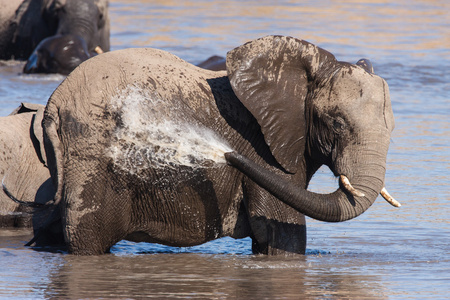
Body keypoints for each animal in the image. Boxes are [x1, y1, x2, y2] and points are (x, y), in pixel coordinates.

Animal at [37, 35, 400, 255]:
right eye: (337, 123)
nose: (225, 153)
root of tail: (55, 103)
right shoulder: (265, 152)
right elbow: (283, 236)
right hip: (90, 153)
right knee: (89, 239)